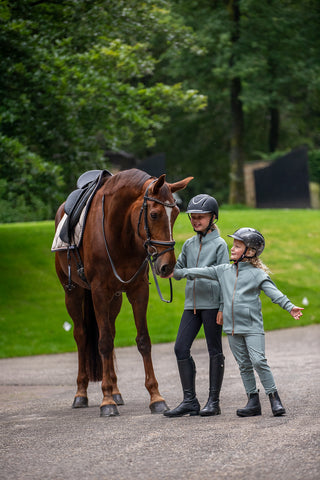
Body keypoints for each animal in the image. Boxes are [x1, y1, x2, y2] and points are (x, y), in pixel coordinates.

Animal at [54, 169, 192, 416]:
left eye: (176, 213)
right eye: (154, 214)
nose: (167, 266)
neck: (120, 233)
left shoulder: (137, 290)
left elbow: (143, 340)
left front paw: (155, 397)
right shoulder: (99, 292)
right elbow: (104, 342)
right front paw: (106, 400)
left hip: (115, 298)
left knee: (110, 330)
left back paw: (116, 391)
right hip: (73, 293)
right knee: (82, 335)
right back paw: (81, 393)